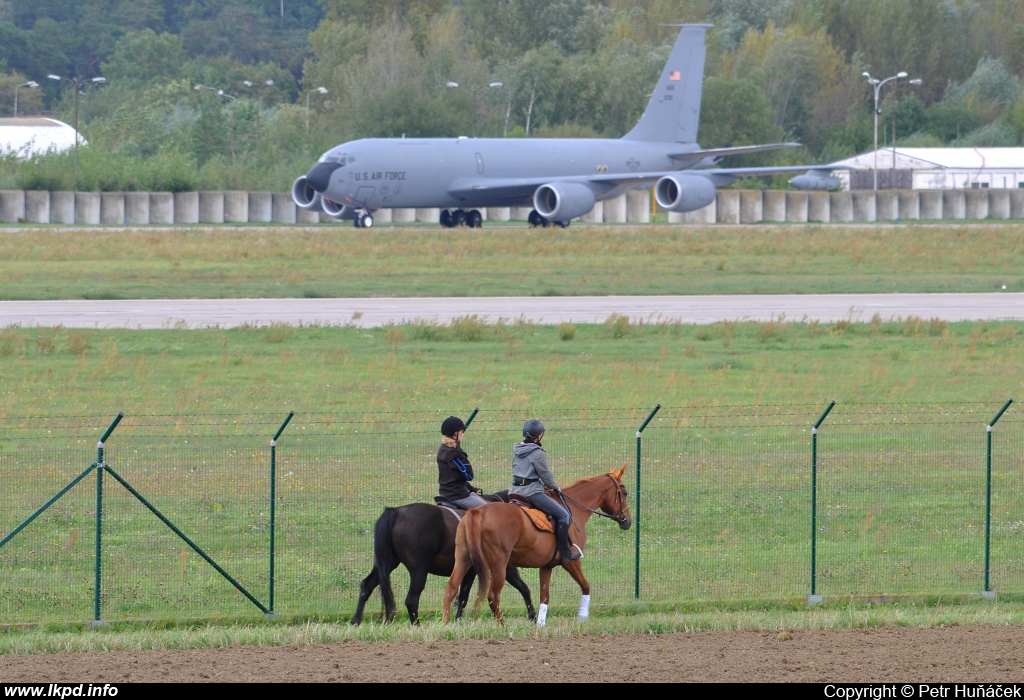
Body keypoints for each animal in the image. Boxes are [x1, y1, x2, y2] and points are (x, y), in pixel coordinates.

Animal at [442, 466, 630, 626]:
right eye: (625, 493)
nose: (627, 521)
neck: (573, 508)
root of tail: (478, 511)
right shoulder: (572, 562)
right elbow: (586, 586)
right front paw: (582, 616)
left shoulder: (546, 566)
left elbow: (544, 597)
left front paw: (540, 624)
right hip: (498, 566)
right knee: (493, 596)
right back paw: (502, 625)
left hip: (464, 560)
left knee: (451, 589)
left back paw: (446, 623)